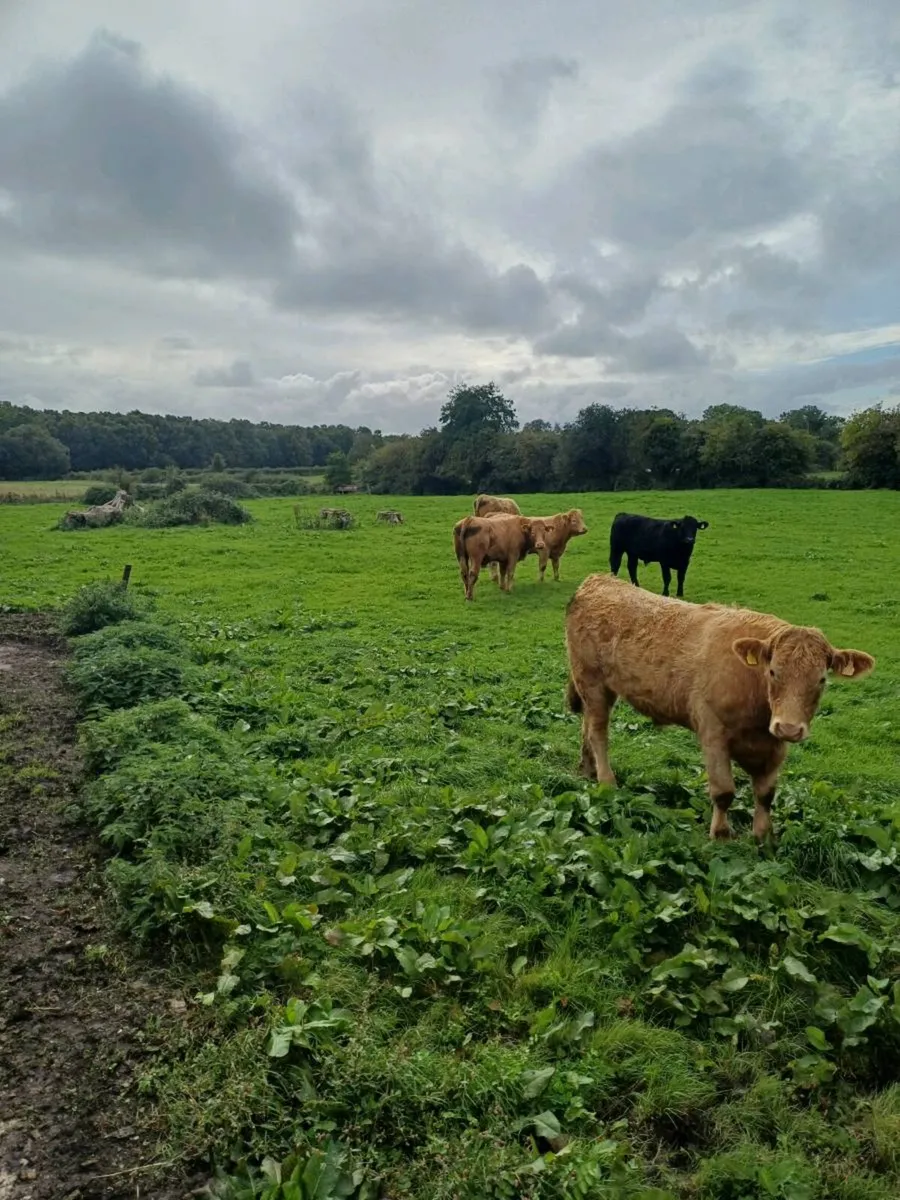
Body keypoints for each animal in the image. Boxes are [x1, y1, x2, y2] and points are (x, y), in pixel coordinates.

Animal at [565, 573, 875, 841]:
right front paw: (721, 835)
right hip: (591, 681)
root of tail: (598, 580)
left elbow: (766, 794)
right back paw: (606, 780)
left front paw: (763, 837)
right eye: (773, 672)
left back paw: (587, 769)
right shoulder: (713, 732)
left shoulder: (775, 747)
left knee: (587, 726)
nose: (788, 728)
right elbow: (724, 791)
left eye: (822, 680)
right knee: (598, 732)